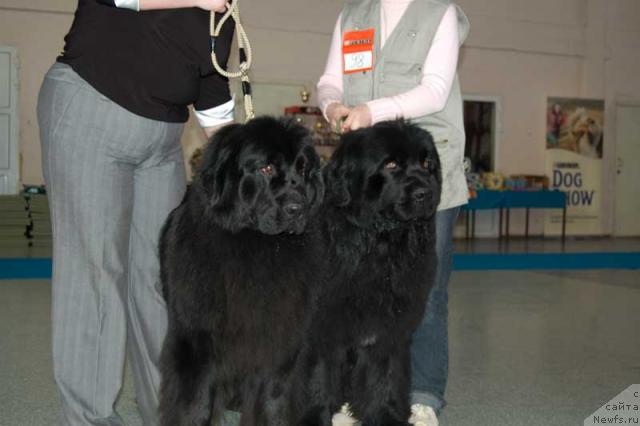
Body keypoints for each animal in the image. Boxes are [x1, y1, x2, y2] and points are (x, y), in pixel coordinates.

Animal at [302, 120, 442, 426]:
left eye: (427, 164)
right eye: (390, 164)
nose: (427, 193)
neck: (380, 245)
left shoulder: (388, 329)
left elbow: (383, 380)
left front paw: (386, 416)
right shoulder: (320, 331)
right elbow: (317, 381)